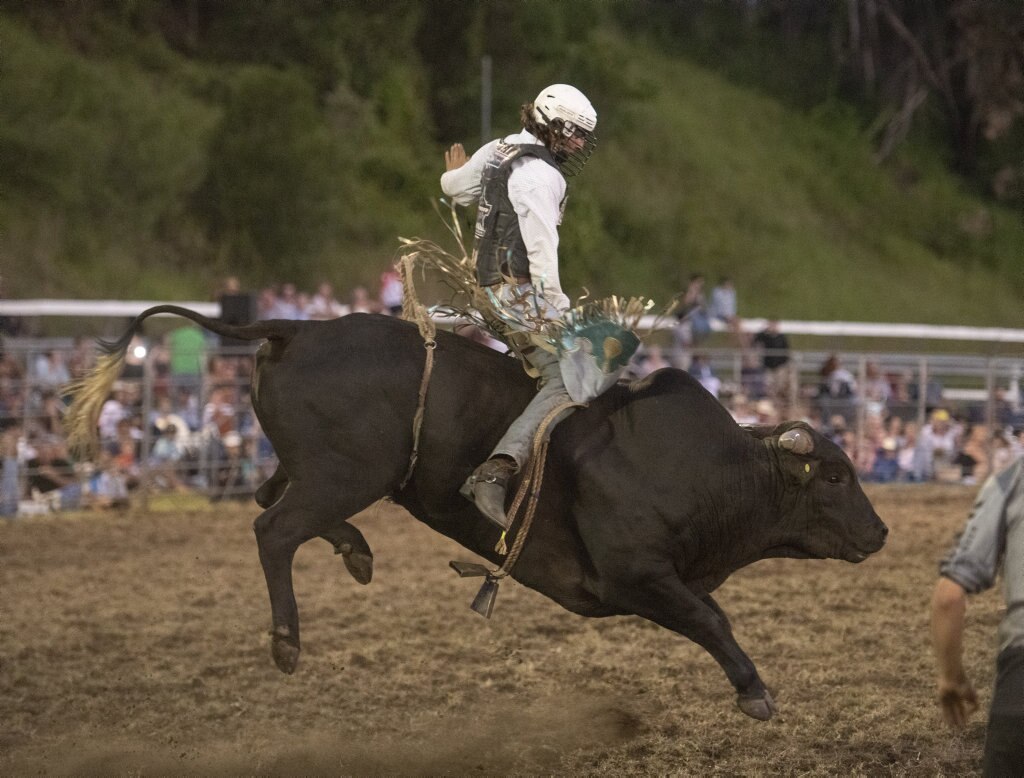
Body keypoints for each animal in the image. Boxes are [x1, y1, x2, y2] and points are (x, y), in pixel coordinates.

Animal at [66, 307, 888, 720]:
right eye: (836, 474)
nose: (880, 532)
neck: (709, 469)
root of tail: (294, 328)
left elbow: (709, 613)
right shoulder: (637, 576)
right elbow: (710, 619)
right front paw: (754, 691)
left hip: (320, 470)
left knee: (274, 504)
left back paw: (356, 550)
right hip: (346, 473)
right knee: (273, 529)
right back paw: (288, 641)